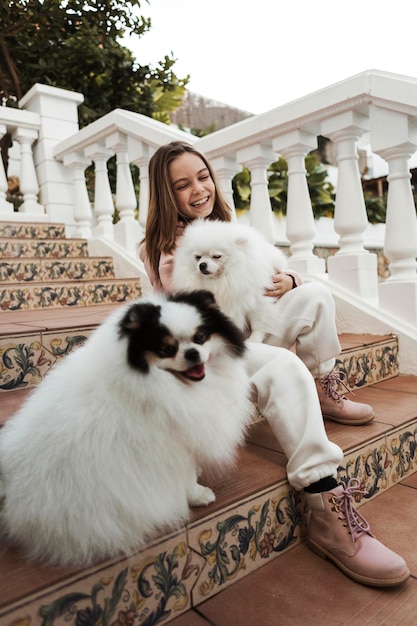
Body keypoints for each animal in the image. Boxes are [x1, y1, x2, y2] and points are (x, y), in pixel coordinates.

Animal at [0, 290, 252, 564]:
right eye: (167, 349)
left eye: (200, 338)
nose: (193, 353)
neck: (169, 385)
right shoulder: (170, 442)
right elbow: (185, 475)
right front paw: (198, 494)